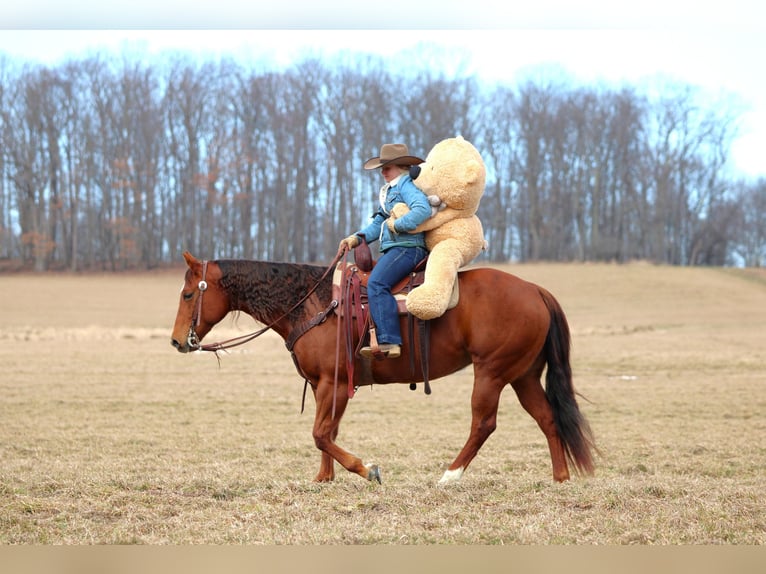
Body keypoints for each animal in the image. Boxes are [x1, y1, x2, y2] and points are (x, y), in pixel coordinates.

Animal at [171, 250, 596, 485]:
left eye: (188, 293)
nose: (177, 341)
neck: (312, 303)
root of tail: (535, 290)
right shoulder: (328, 386)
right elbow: (327, 431)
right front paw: (323, 478)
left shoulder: (334, 384)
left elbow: (321, 433)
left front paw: (365, 469)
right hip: (522, 375)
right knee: (548, 418)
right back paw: (560, 478)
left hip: (491, 372)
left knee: (484, 424)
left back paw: (450, 475)